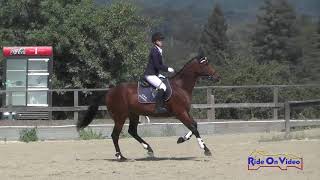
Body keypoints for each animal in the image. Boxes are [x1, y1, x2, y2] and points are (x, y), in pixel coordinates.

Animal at [76, 55, 221, 160]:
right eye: (206, 64)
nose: (217, 76)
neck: (181, 86)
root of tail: (110, 91)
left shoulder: (185, 112)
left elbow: (195, 125)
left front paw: (181, 139)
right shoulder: (180, 113)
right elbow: (193, 128)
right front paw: (206, 150)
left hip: (134, 115)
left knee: (132, 131)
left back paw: (149, 149)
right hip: (120, 117)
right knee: (115, 135)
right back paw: (121, 156)